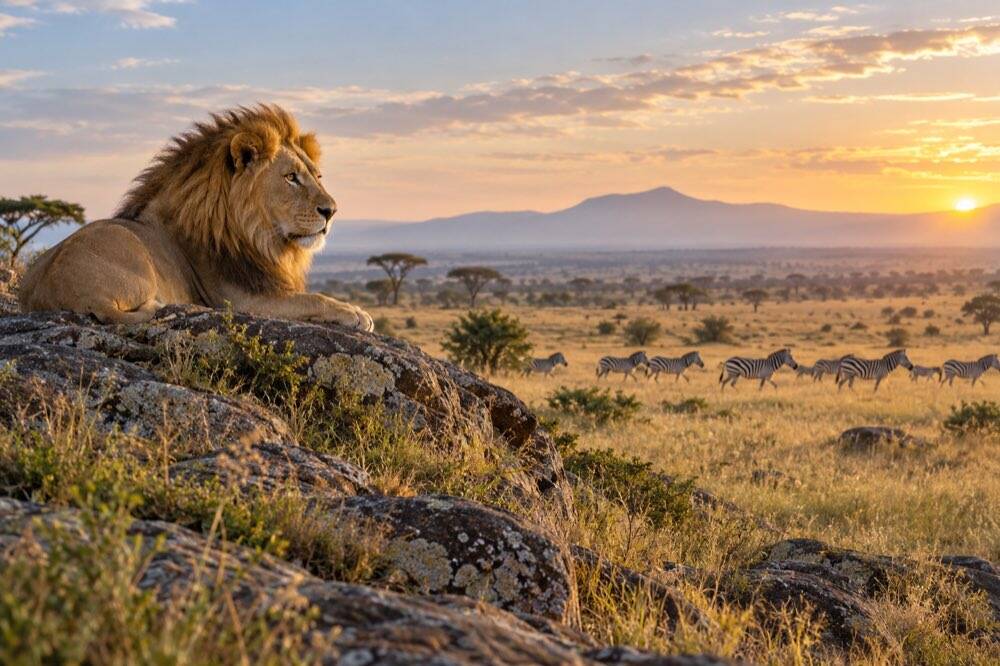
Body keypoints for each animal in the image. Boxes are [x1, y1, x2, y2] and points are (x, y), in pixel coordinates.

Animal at [18, 105, 373, 331]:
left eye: (317, 175)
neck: (259, 235)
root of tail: (63, 288)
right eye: (291, 178)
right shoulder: (241, 300)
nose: (331, 210)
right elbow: (314, 299)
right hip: (133, 258)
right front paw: (356, 313)